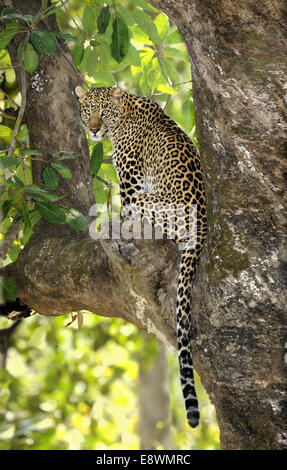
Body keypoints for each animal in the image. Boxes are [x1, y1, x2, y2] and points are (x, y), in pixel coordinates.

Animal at [75, 85, 208, 430]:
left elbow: (125, 207)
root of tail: (201, 229)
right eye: (87, 110)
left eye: (104, 112)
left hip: (149, 201)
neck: (125, 111)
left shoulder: (131, 185)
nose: (94, 130)